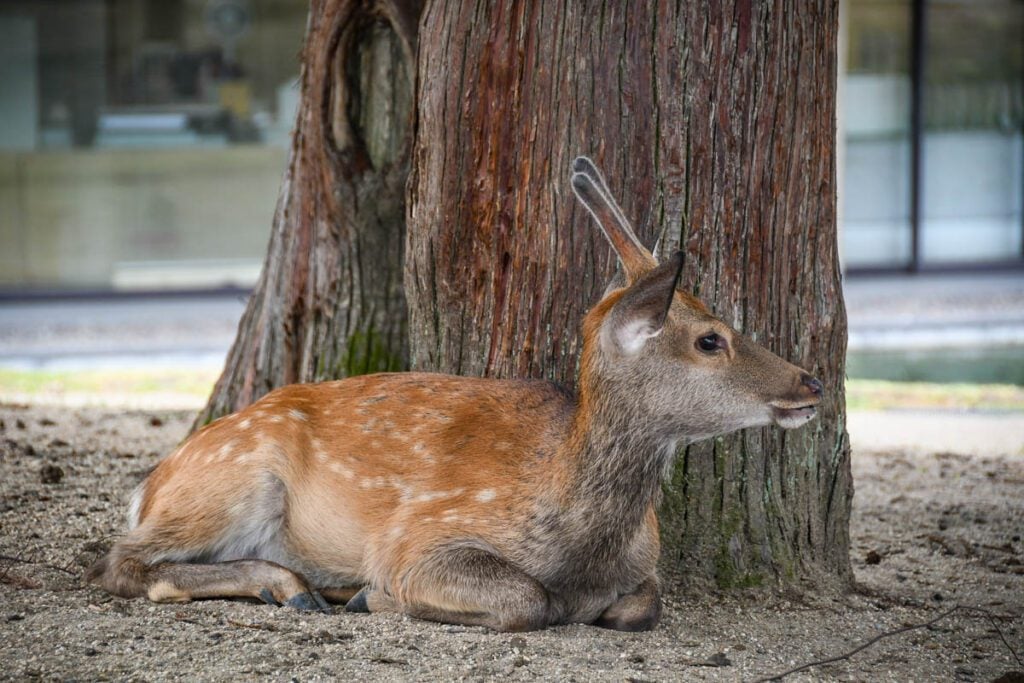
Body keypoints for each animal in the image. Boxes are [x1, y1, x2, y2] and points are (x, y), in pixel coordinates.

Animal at [88, 157, 823, 634]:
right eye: (710, 339)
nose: (811, 381)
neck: (581, 544)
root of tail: (151, 482)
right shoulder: (420, 535)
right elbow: (525, 600)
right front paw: (373, 597)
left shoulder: (646, 566)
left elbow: (644, 605)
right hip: (237, 474)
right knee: (126, 561)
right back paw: (295, 588)